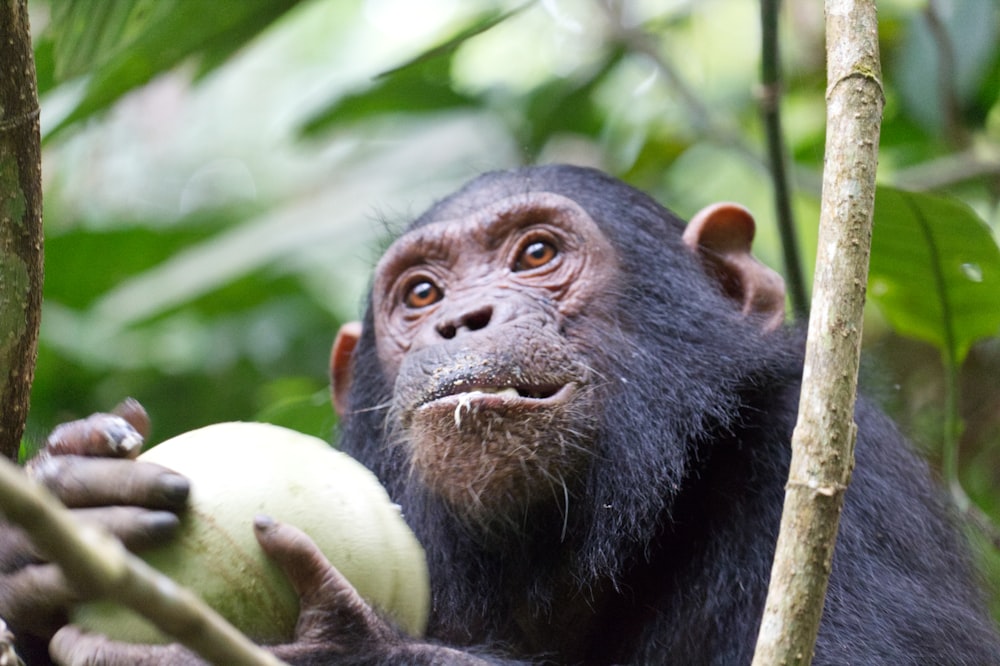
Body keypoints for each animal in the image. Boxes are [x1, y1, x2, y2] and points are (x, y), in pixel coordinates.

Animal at [1, 162, 1000, 664]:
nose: (462, 318)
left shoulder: (829, 482)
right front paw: (64, 510)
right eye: (421, 292)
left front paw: (347, 651)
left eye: (536, 253)